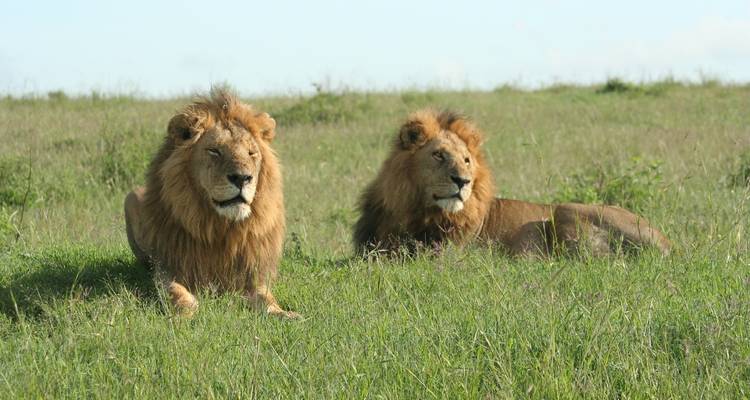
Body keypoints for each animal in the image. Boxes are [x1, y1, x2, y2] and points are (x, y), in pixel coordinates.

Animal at [124, 88, 298, 318]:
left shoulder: (252, 276)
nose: (242, 178)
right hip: (131, 197)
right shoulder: (168, 268)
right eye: (214, 151)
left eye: (251, 153)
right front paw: (184, 313)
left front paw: (286, 314)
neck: (221, 228)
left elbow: (267, 299)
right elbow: (175, 291)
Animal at [354, 109, 671, 257]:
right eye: (438, 155)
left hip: (566, 211)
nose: (463, 181)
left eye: (466, 160)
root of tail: (667, 242)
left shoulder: (444, 255)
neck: (414, 209)